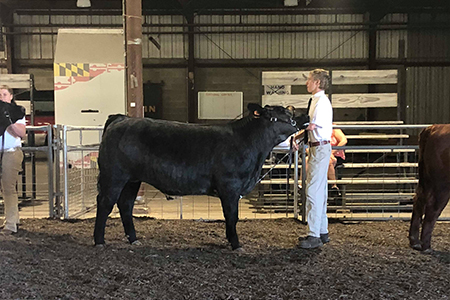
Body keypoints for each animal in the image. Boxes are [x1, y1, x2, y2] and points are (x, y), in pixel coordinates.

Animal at [408, 123, 450, 252]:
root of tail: (433, 127)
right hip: (442, 184)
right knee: (433, 209)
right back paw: (426, 245)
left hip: (425, 179)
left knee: (419, 200)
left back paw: (415, 242)